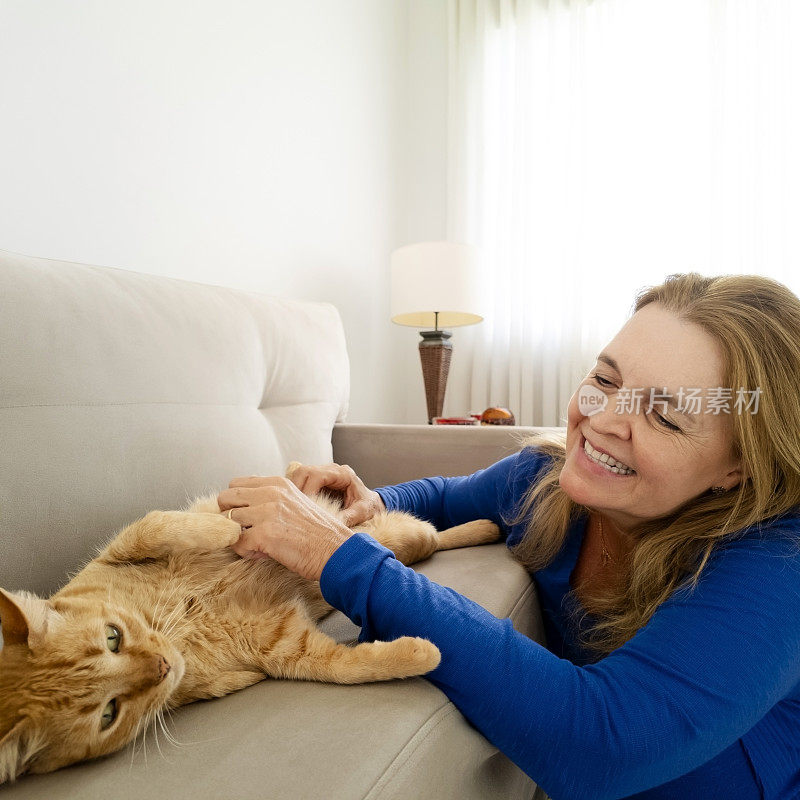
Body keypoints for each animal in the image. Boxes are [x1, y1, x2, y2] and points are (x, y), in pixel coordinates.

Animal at [0, 462, 500, 780]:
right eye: (109, 713)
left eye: (113, 638)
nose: (163, 666)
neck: (180, 631)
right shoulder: (285, 646)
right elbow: (353, 666)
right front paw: (423, 651)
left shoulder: (123, 545)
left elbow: (165, 524)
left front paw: (232, 527)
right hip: (398, 541)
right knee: (417, 543)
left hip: (396, 532)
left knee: (429, 533)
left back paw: (487, 526)